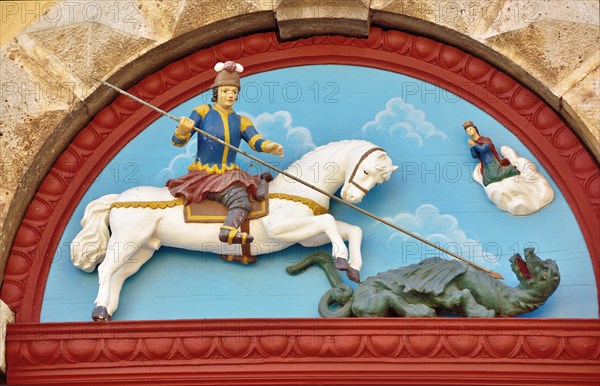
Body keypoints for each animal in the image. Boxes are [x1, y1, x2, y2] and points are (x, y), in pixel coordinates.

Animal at [71, 139, 398, 320]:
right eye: (366, 170)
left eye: (379, 180)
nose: (353, 198)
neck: (297, 188)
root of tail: (118, 199)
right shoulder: (285, 229)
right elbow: (331, 223)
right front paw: (341, 258)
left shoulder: (307, 238)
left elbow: (352, 229)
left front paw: (353, 267)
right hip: (128, 239)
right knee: (106, 270)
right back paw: (99, 311)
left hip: (144, 248)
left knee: (119, 275)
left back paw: (107, 310)